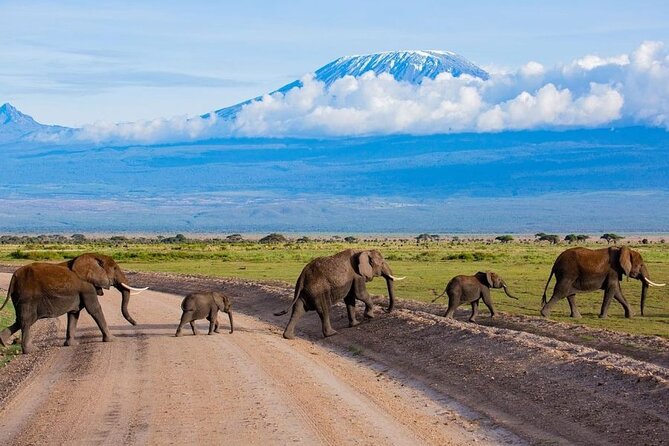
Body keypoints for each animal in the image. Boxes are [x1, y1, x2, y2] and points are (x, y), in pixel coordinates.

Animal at [0, 253, 148, 353]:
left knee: (21, 320)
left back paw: (3, 342)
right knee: (27, 320)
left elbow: (74, 313)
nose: (136, 324)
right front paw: (113, 340)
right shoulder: (87, 286)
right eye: (115, 268)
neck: (93, 256)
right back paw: (31, 350)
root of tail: (14, 277)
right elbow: (94, 309)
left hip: (19, 296)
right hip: (28, 297)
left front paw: (71, 345)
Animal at [274, 249, 404, 339]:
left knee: (298, 309)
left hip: (305, 291)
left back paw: (289, 337)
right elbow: (360, 294)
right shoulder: (357, 275)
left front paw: (355, 324)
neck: (363, 250)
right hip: (318, 290)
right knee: (324, 310)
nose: (385, 310)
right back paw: (332, 333)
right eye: (382, 263)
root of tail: (302, 276)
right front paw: (369, 316)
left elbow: (350, 299)